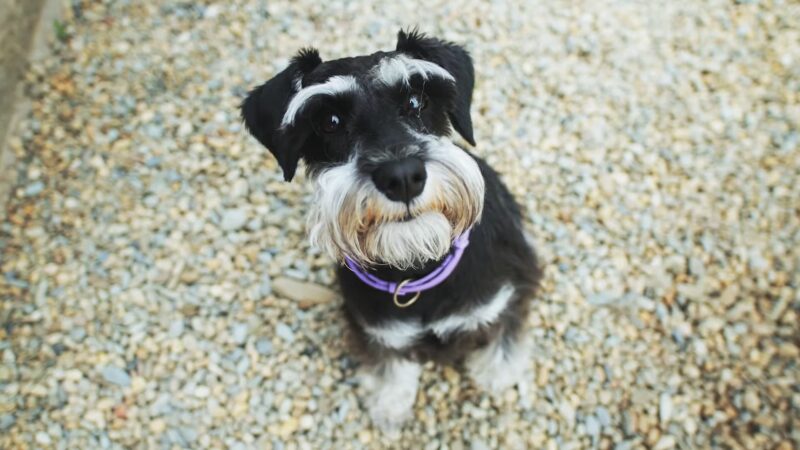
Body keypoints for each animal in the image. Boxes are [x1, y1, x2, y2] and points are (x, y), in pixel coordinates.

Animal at [241, 29, 540, 430]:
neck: (417, 267)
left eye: (416, 100)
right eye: (330, 121)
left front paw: (498, 376)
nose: (402, 177)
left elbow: (502, 338)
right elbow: (391, 369)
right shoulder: (376, 332)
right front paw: (388, 405)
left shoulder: (504, 299)